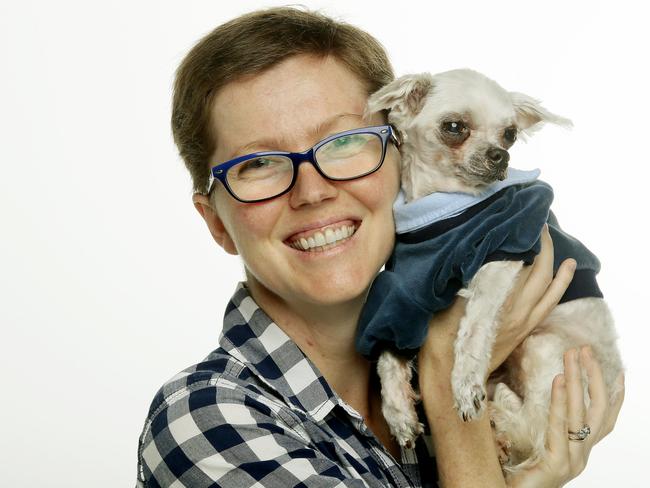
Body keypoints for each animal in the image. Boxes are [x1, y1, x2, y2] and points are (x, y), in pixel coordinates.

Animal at [360, 70, 624, 474]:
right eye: (454, 127)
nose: (501, 155)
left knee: (535, 428)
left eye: (510, 133)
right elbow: (388, 354)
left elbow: (474, 326)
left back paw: (501, 414)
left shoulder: (504, 253)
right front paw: (398, 411)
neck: (445, 208)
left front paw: (464, 381)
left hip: (547, 348)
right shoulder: (406, 290)